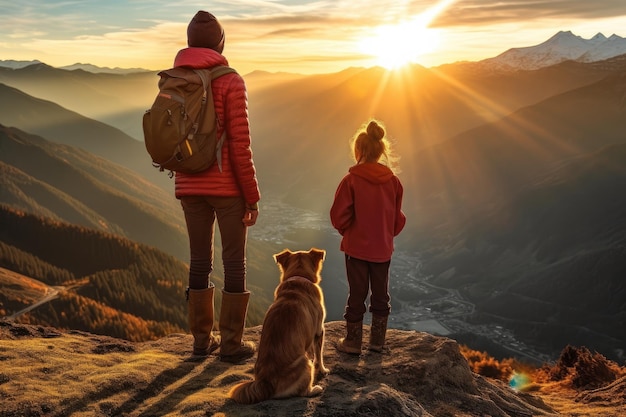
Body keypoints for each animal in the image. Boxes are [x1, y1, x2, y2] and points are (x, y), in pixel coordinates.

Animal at [228, 247, 326, 404]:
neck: (298, 277)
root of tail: (265, 383)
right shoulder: (318, 330)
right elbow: (319, 355)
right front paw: (323, 370)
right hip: (304, 362)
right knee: (302, 391)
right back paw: (315, 389)